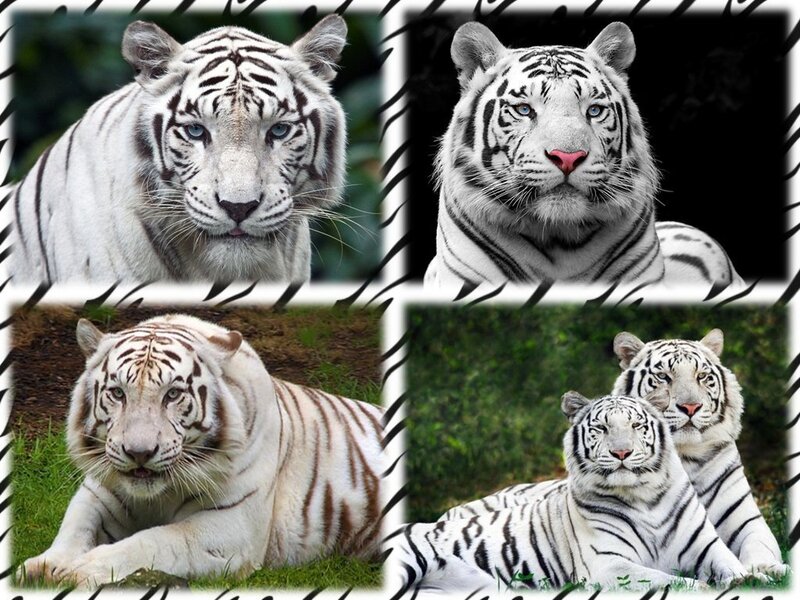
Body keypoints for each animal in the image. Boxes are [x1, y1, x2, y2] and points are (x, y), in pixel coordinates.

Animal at [18, 314, 384, 588]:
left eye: (173, 394)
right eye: (118, 393)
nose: (139, 452)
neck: (157, 496)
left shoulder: (231, 528)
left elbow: (153, 541)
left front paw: (81, 570)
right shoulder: (100, 492)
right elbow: (75, 525)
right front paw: (43, 566)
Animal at [394, 392, 752, 593]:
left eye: (636, 426)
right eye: (601, 428)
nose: (621, 453)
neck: (644, 498)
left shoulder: (706, 546)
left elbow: (733, 566)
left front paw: (747, 578)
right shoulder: (609, 566)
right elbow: (667, 580)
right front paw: (702, 586)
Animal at [441, 330, 788, 579]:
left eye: (702, 376)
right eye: (663, 377)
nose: (690, 407)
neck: (684, 457)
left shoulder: (747, 522)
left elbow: (761, 548)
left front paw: (770, 570)